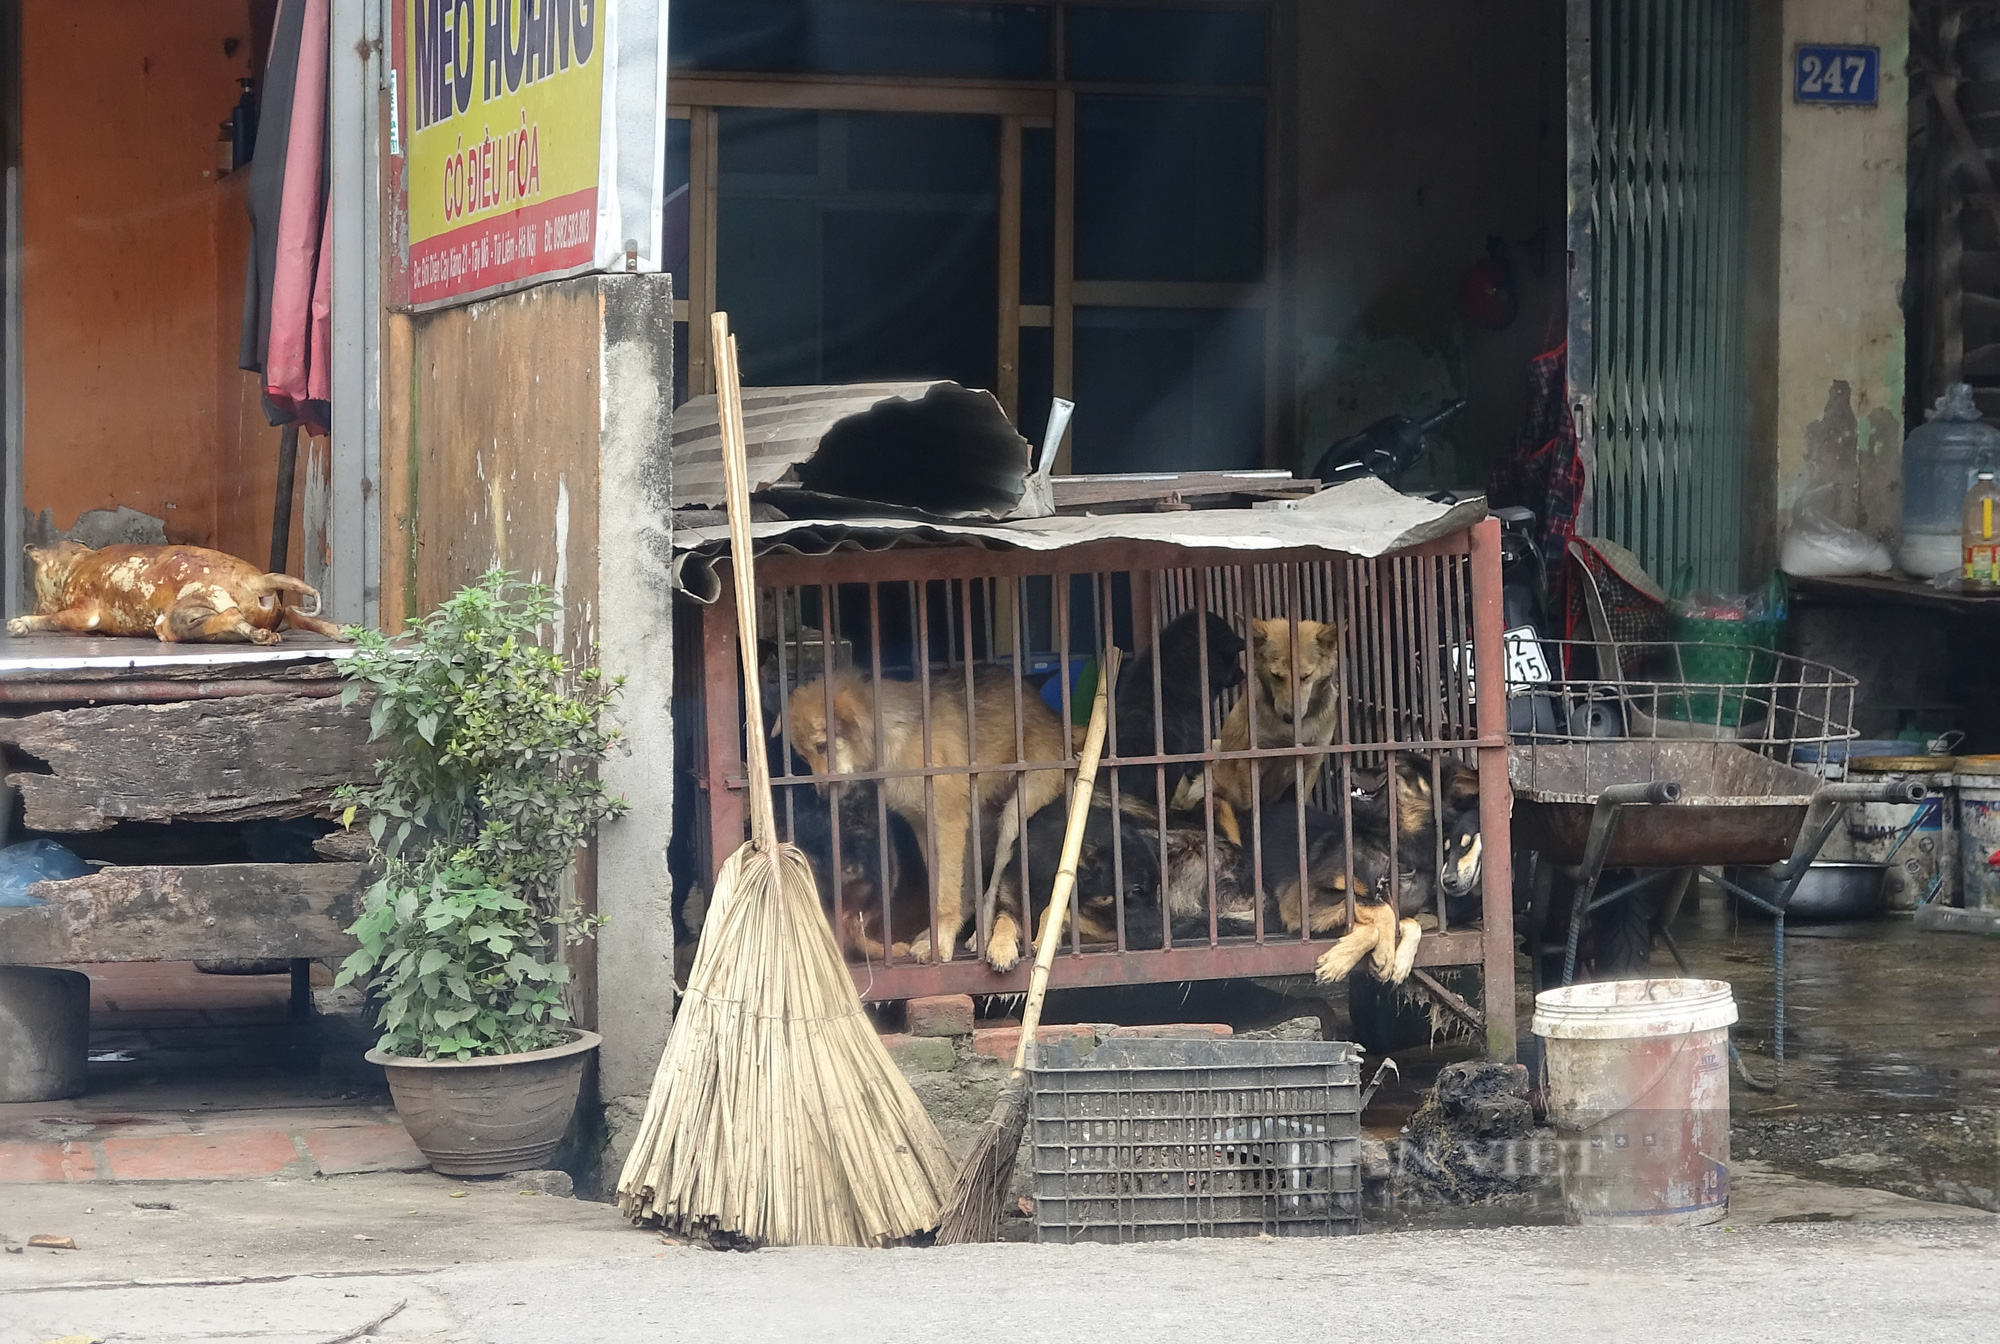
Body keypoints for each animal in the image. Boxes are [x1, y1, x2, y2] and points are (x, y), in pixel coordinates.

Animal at [9, 540, 346, 644]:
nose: (34, 606)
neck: (77, 561)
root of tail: (258, 581)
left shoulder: (84, 613)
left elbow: (56, 620)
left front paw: (21, 623)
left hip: (176, 617)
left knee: (229, 615)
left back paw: (258, 636)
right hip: (277, 612)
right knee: (293, 614)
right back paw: (341, 632)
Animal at [780, 668, 1072, 972]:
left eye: (822, 747)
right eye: (804, 756)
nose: (821, 795)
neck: (896, 738)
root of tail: (1052, 715)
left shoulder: (949, 819)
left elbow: (947, 895)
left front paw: (940, 945)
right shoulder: (924, 825)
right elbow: (942, 887)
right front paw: (937, 936)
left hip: (1013, 819)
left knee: (995, 881)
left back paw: (982, 936)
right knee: (971, 889)